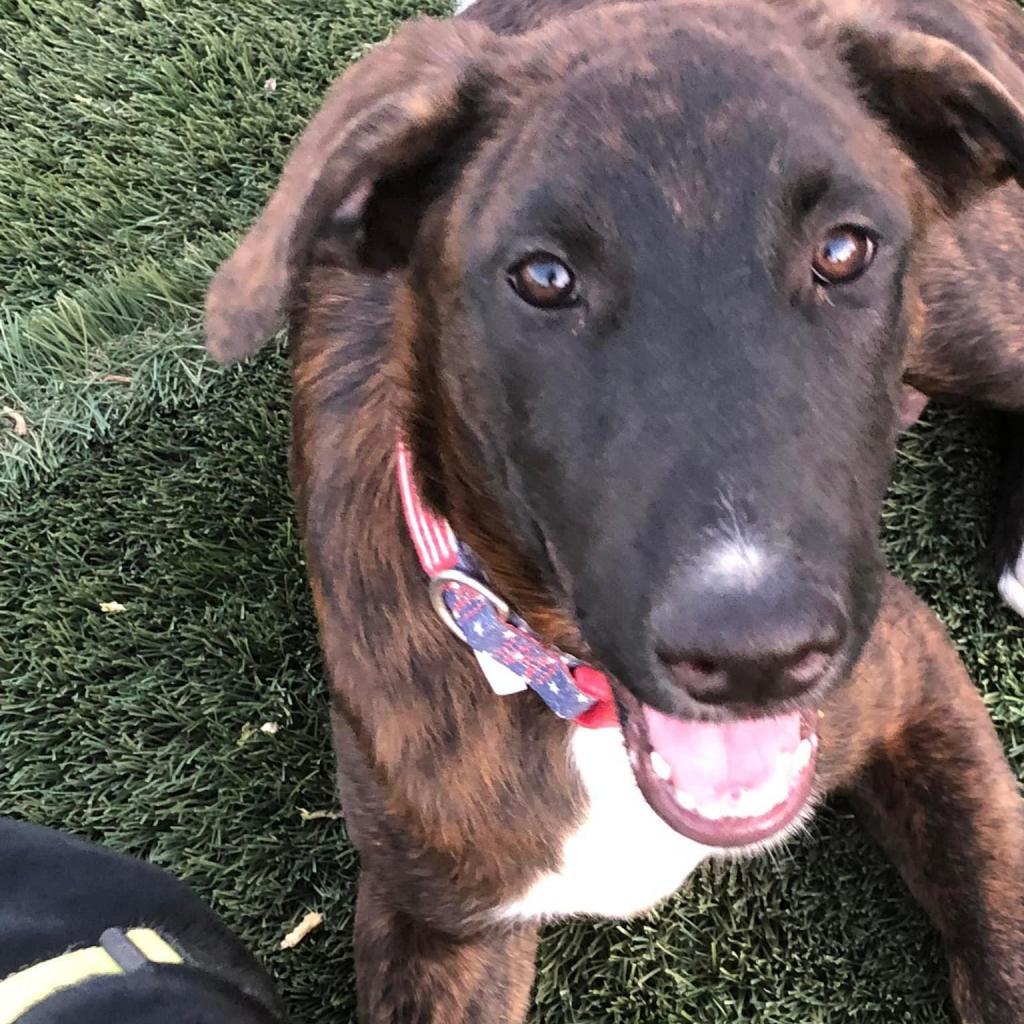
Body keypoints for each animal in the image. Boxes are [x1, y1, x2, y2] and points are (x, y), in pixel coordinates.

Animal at [203, 0, 1024, 1015]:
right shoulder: (437, 922)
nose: (757, 658)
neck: (576, 696)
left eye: (843, 250)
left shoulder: (918, 680)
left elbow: (1002, 935)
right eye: (544, 278)